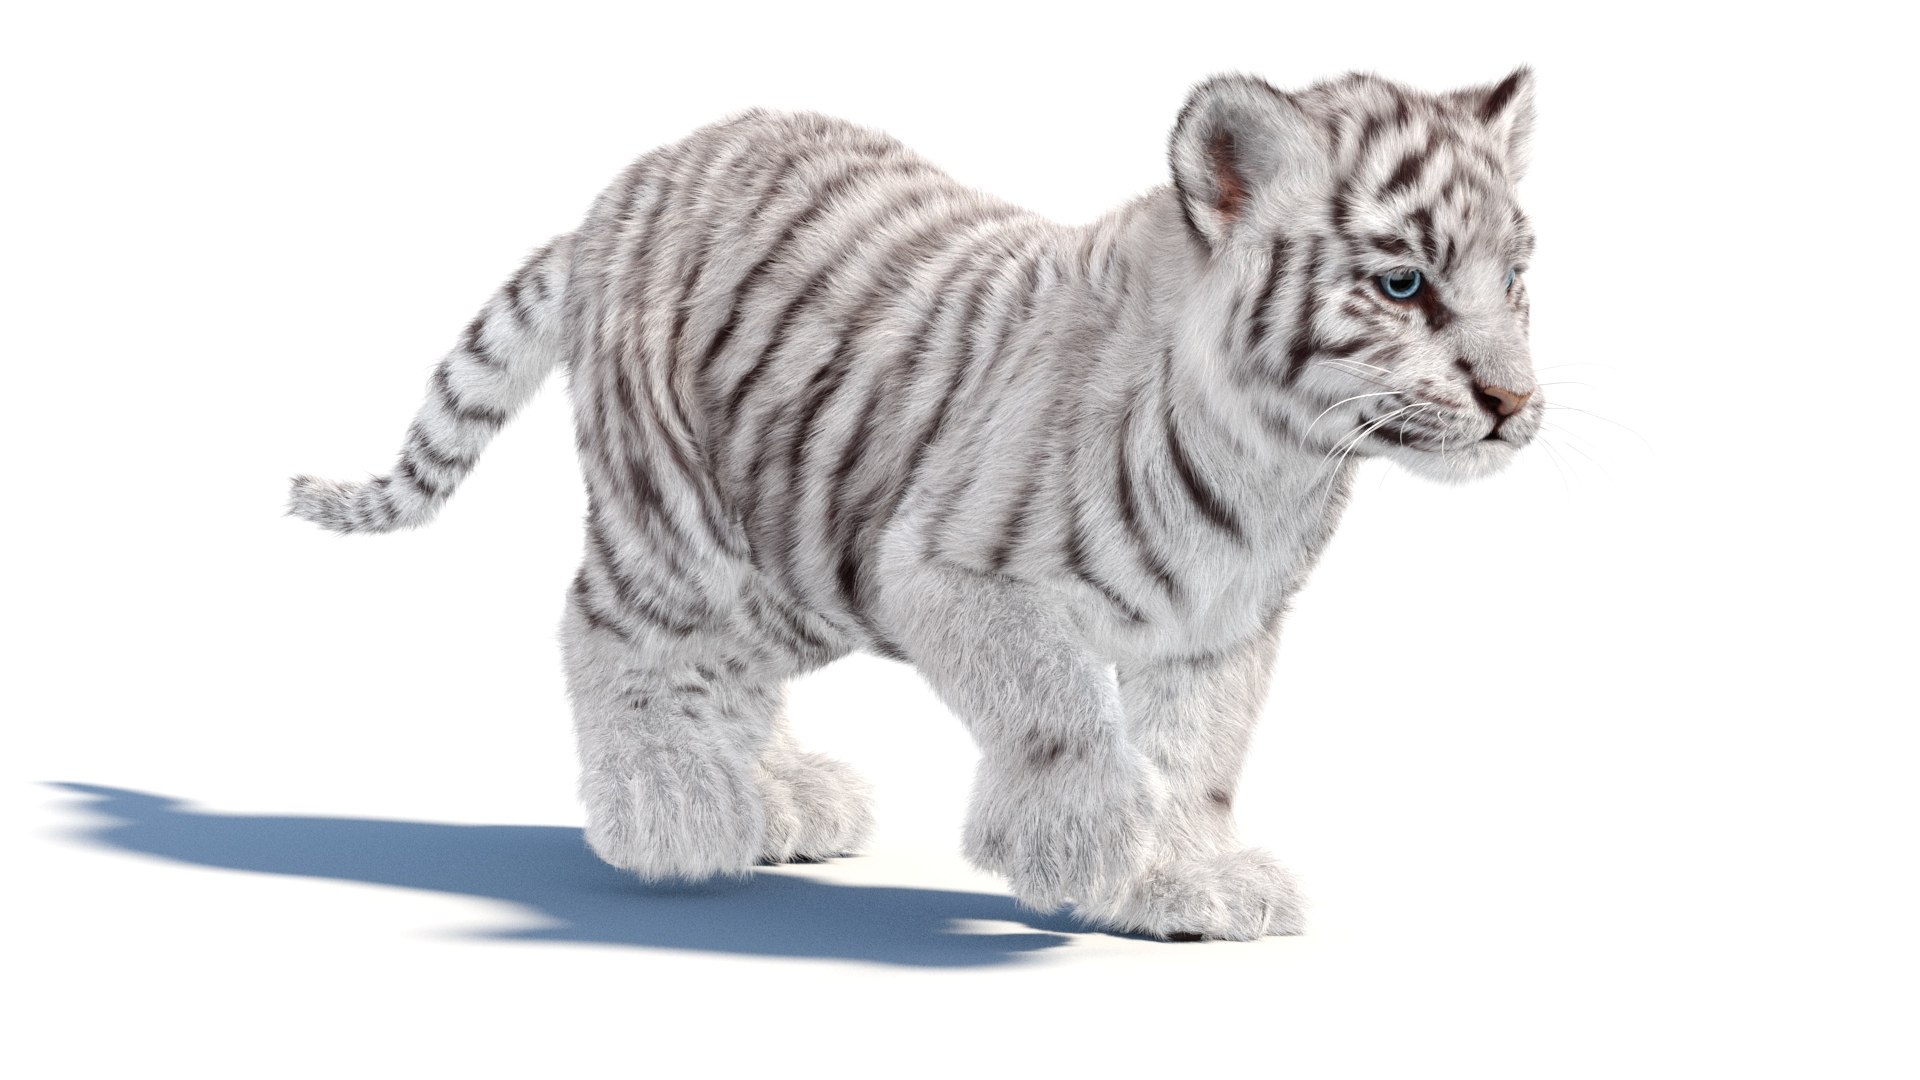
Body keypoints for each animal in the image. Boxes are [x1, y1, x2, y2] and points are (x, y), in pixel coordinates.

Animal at [289, 68, 1542, 940]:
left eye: (1517, 278)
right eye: (1403, 285)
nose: (1516, 402)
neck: (1278, 460)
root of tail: (622, 193)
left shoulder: (1219, 630)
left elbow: (1198, 754)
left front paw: (1182, 880)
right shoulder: (951, 574)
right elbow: (1064, 715)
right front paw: (1085, 848)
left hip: (791, 549)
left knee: (724, 668)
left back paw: (779, 796)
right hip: (686, 522)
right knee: (612, 633)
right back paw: (675, 810)